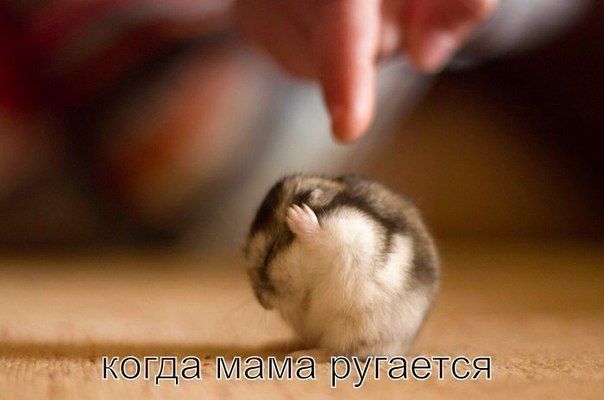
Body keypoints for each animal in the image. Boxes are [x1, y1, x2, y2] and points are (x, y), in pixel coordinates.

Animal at [244, 174, 439, 359]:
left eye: (269, 254)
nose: (264, 304)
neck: (311, 269)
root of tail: (402, 349)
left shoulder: (351, 237)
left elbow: (325, 237)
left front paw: (297, 215)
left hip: (356, 331)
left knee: (336, 351)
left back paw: (299, 355)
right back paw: (280, 345)